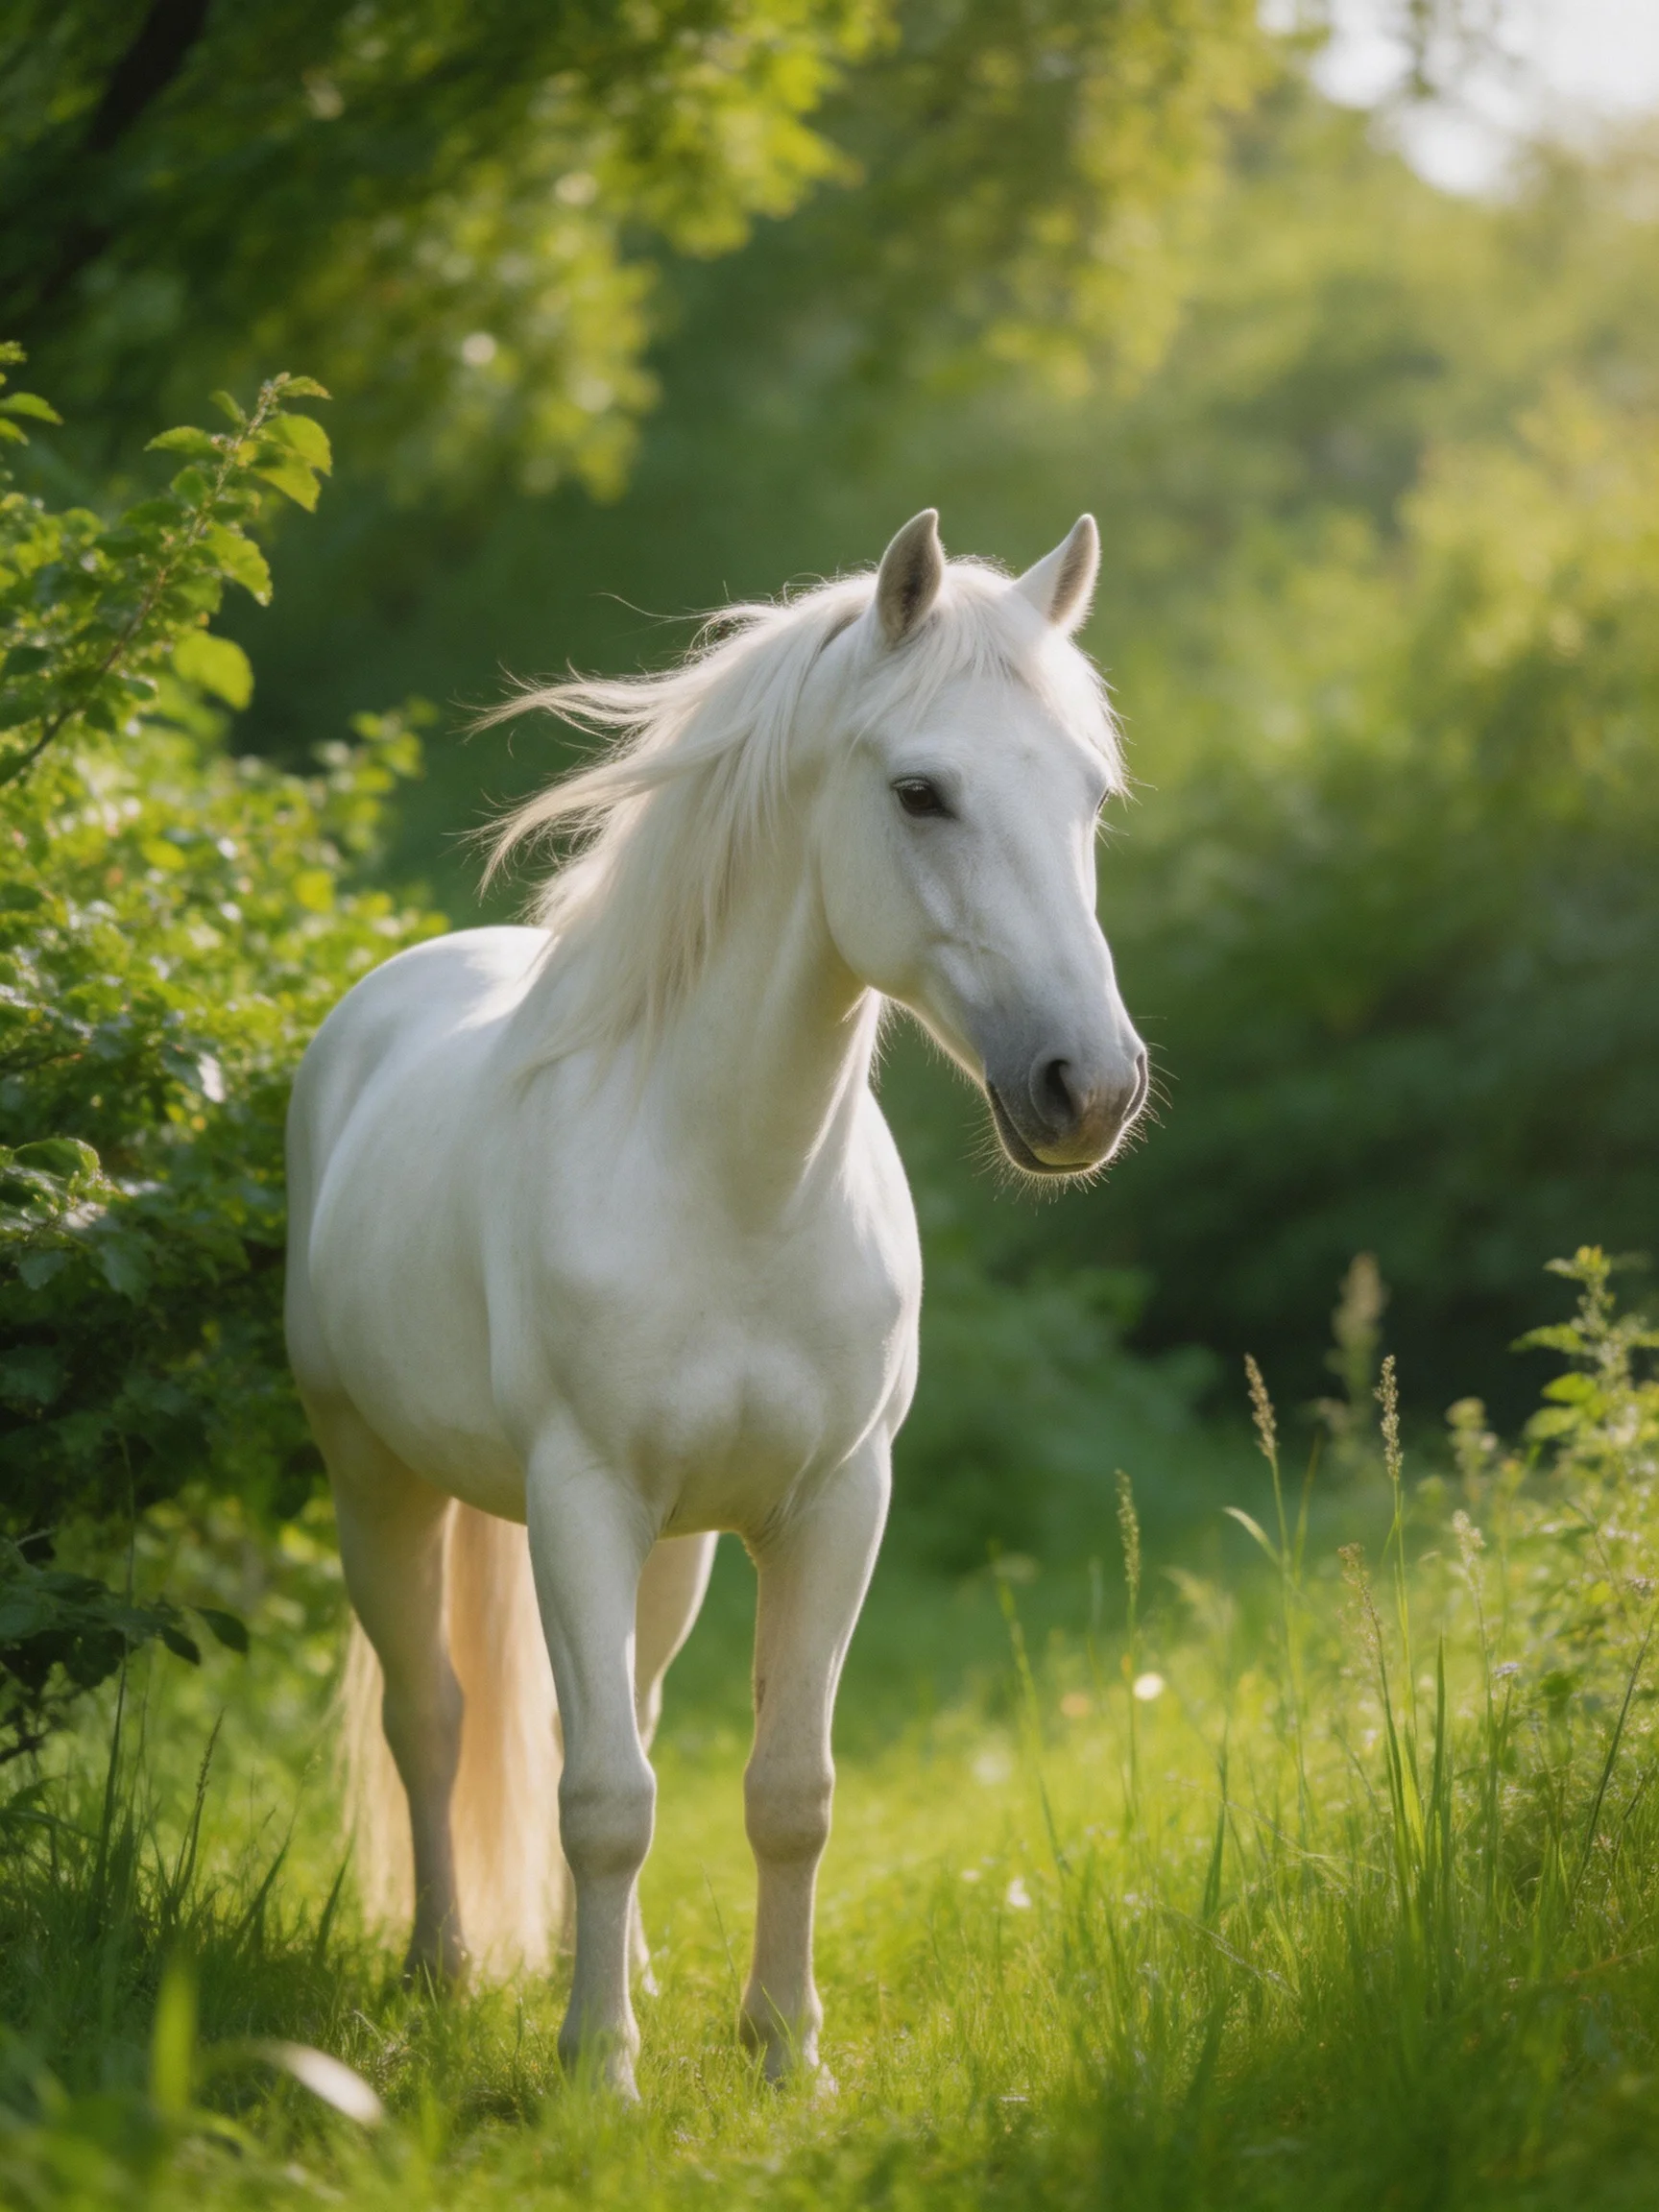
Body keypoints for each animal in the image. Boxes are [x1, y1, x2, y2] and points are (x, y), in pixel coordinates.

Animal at [284, 509, 1149, 2097]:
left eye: (1090, 796)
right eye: (921, 792)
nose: (1089, 1090)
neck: (734, 1190)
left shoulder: (834, 1505)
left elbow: (783, 1788)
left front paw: (783, 2051)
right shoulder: (578, 1501)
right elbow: (601, 1799)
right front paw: (597, 2074)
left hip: (671, 1550)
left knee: (612, 1707)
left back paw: (610, 1972)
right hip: (378, 1482)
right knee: (430, 1719)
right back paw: (443, 1971)